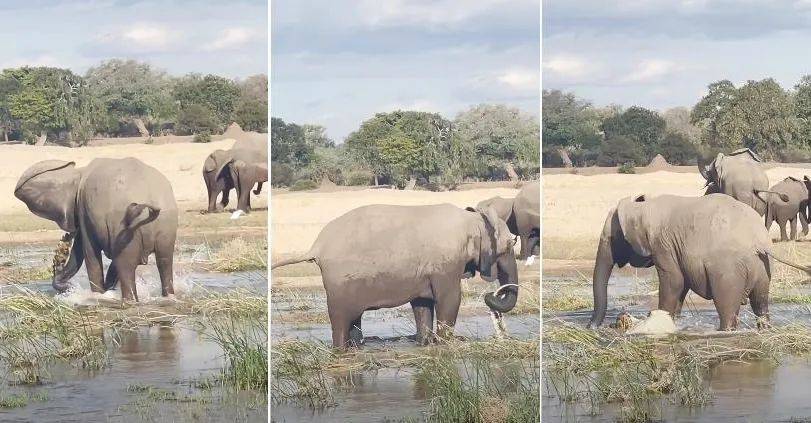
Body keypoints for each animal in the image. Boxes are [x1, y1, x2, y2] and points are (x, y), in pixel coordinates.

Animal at [13, 158, 179, 302]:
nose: (65, 238)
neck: (78, 172)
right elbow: (80, 252)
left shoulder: (83, 207)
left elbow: (88, 253)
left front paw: (98, 295)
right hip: (165, 226)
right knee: (164, 261)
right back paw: (168, 297)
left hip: (124, 227)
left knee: (126, 266)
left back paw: (129, 301)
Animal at [270, 204, 516, 350]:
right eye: (511, 244)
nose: (491, 295)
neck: (472, 219)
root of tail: (316, 247)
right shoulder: (446, 264)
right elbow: (450, 299)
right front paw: (446, 343)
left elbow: (422, 303)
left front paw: (425, 343)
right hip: (338, 282)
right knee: (340, 319)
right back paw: (340, 350)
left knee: (353, 319)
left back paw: (357, 347)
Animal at [588, 195, 811, 332]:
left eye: (612, 238)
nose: (591, 327)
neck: (644, 207)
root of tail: (759, 242)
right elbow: (681, 286)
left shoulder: (663, 245)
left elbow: (674, 282)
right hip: (763, 269)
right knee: (761, 306)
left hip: (728, 272)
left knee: (727, 309)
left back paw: (724, 331)